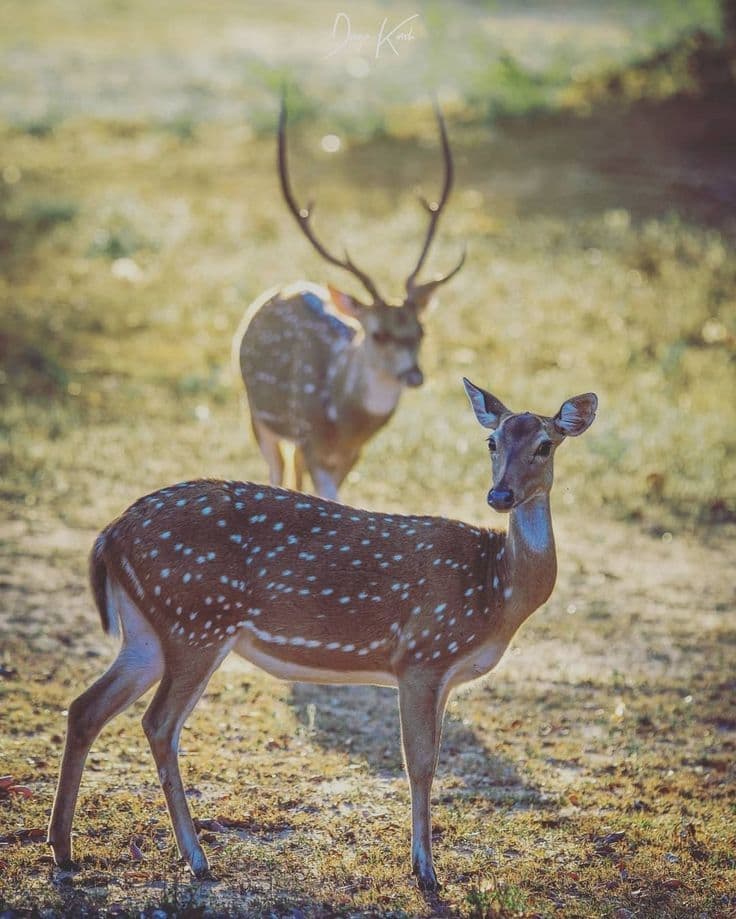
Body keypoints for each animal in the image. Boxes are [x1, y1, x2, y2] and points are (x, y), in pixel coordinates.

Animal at [48, 379, 597, 891]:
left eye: (545, 445)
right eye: (491, 442)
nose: (500, 495)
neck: (497, 589)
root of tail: (109, 535)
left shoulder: (441, 673)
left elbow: (432, 759)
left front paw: (423, 865)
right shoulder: (423, 654)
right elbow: (420, 764)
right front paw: (425, 872)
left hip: (148, 632)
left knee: (85, 708)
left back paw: (63, 850)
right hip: (197, 620)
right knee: (158, 723)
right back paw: (197, 860)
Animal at [235, 97, 466, 500]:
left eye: (421, 331)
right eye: (378, 333)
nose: (414, 374)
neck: (341, 421)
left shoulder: (351, 455)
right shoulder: (310, 440)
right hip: (258, 414)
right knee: (276, 471)